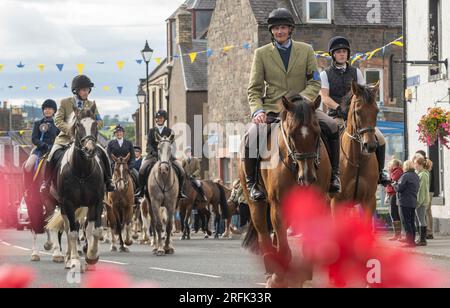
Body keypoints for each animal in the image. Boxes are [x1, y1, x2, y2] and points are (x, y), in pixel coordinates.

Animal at [46, 104, 105, 270]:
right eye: (78, 125)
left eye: (94, 124)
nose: (90, 149)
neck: (82, 172)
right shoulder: (68, 203)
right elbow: (72, 232)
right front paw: (75, 261)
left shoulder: (97, 202)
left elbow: (96, 230)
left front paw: (91, 256)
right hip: (62, 206)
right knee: (68, 229)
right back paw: (67, 258)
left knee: (86, 228)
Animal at [241, 95, 332, 288]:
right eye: (291, 134)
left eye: (317, 133)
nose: (307, 178)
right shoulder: (278, 204)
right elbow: (284, 249)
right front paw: (278, 277)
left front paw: (301, 275)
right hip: (256, 205)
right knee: (264, 237)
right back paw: (272, 273)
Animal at [332, 80, 382, 220]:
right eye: (358, 112)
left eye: (376, 111)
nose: (369, 146)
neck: (358, 161)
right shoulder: (337, 202)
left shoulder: (369, 201)